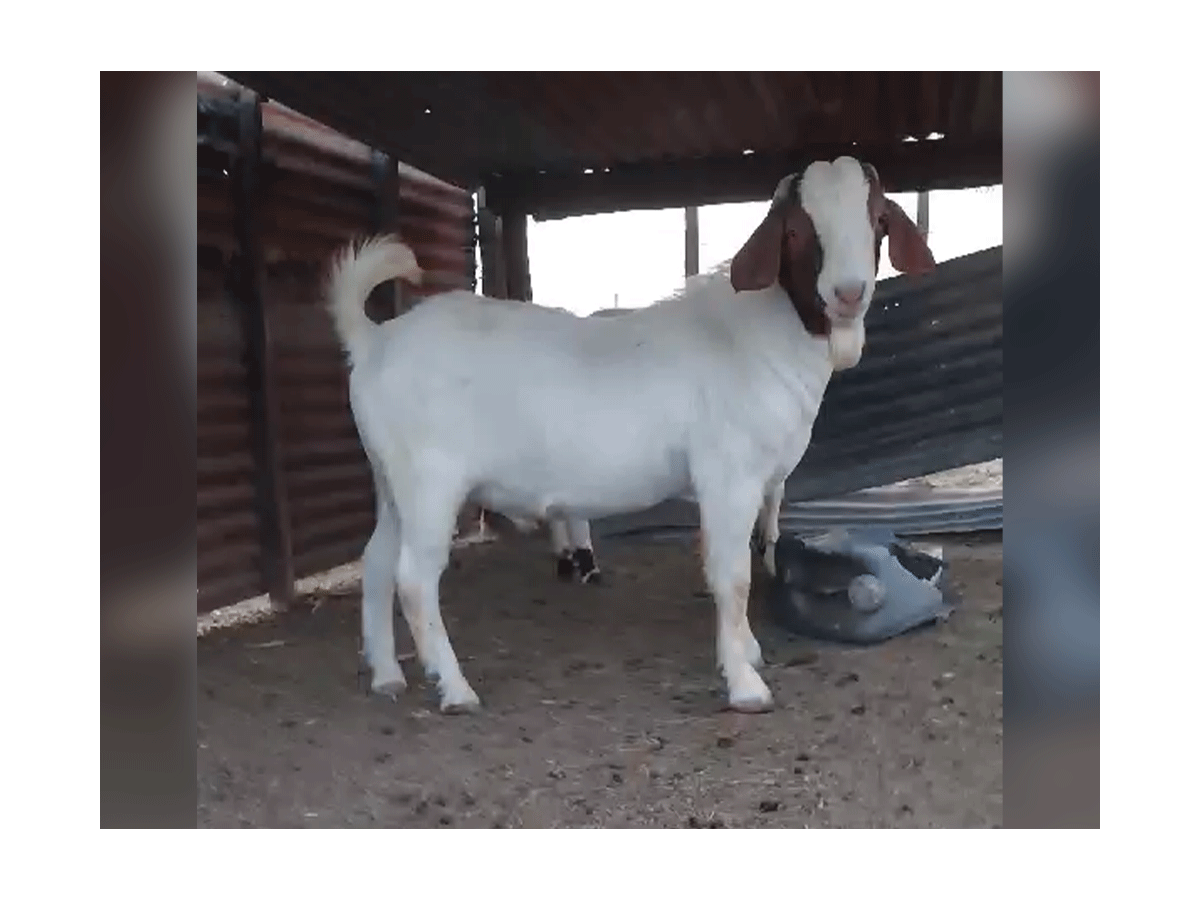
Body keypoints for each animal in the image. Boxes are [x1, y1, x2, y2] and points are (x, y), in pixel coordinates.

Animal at [328, 157, 936, 720]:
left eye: (879, 219)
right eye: (793, 230)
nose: (848, 292)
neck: (761, 336)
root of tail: (374, 341)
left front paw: (748, 651)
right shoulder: (729, 475)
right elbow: (732, 575)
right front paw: (745, 684)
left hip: (392, 479)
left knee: (377, 562)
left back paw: (386, 675)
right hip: (431, 479)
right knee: (414, 578)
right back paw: (454, 689)